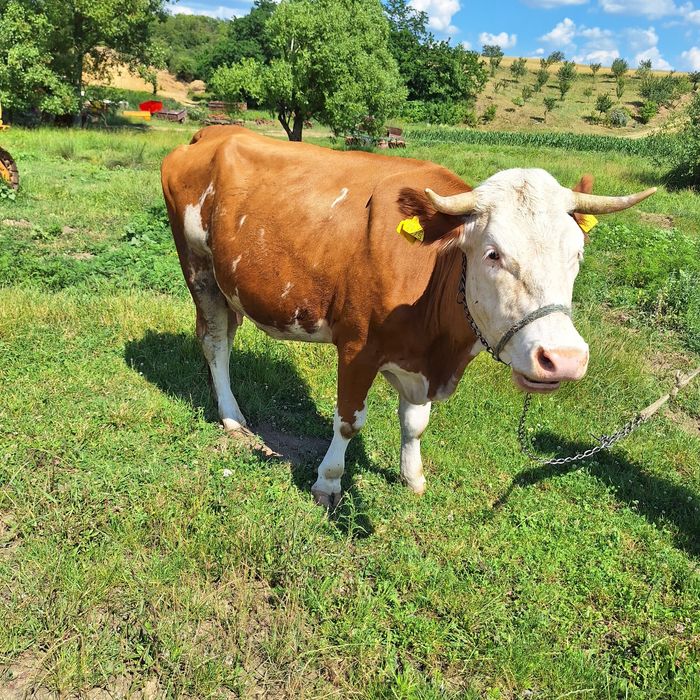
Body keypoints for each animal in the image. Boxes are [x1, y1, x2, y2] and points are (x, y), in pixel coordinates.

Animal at [161, 126, 655, 508]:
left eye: (577, 254)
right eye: (493, 253)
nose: (564, 359)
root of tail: (214, 133)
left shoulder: (419, 362)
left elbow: (415, 423)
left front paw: (411, 476)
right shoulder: (356, 347)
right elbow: (348, 420)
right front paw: (328, 481)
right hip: (199, 269)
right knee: (215, 341)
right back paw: (231, 416)